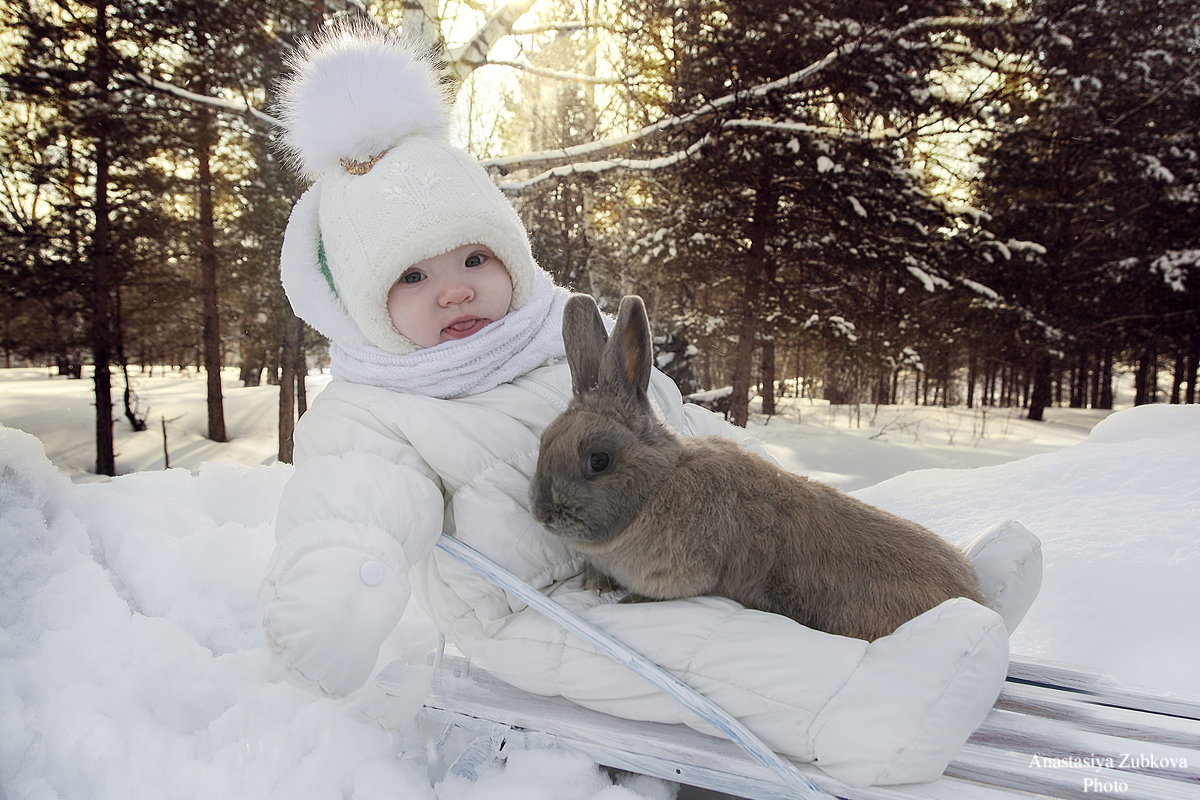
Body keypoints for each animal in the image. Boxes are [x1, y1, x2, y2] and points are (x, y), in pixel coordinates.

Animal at [530, 293, 979, 642]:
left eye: (599, 460)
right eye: (543, 441)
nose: (541, 513)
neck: (657, 485)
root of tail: (975, 594)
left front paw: (624, 598)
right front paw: (594, 581)